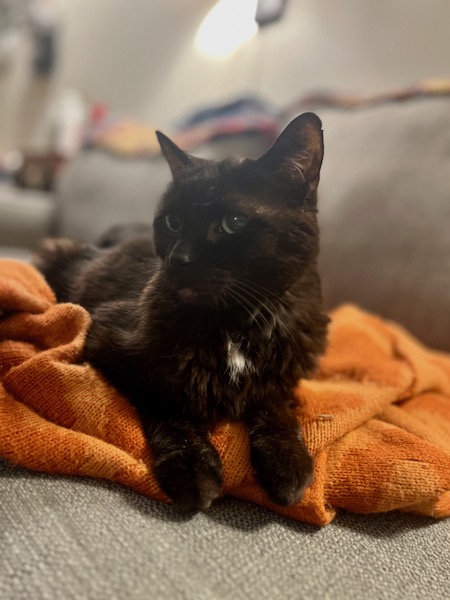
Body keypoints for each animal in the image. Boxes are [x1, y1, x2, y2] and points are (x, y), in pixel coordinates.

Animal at [35, 111, 328, 510]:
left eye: (233, 223)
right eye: (173, 221)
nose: (179, 259)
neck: (237, 323)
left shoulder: (283, 377)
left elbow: (274, 404)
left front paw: (288, 459)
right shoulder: (106, 340)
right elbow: (168, 400)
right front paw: (192, 464)